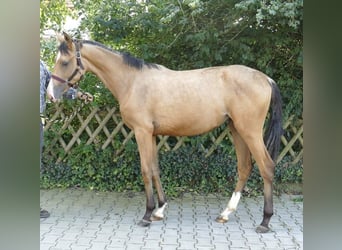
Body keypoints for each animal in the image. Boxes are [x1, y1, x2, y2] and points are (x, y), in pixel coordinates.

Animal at [46, 32, 282, 233]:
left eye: (65, 62)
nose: (50, 94)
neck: (132, 81)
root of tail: (265, 79)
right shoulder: (150, 134)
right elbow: (154, 169)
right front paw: (159, 210)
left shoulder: (141, 132)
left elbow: (145, 171)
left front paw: (147, 214)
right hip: (237, 129)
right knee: (244, 167)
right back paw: (226, 213)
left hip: (250, 131)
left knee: (266, 167)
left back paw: (265, 221)